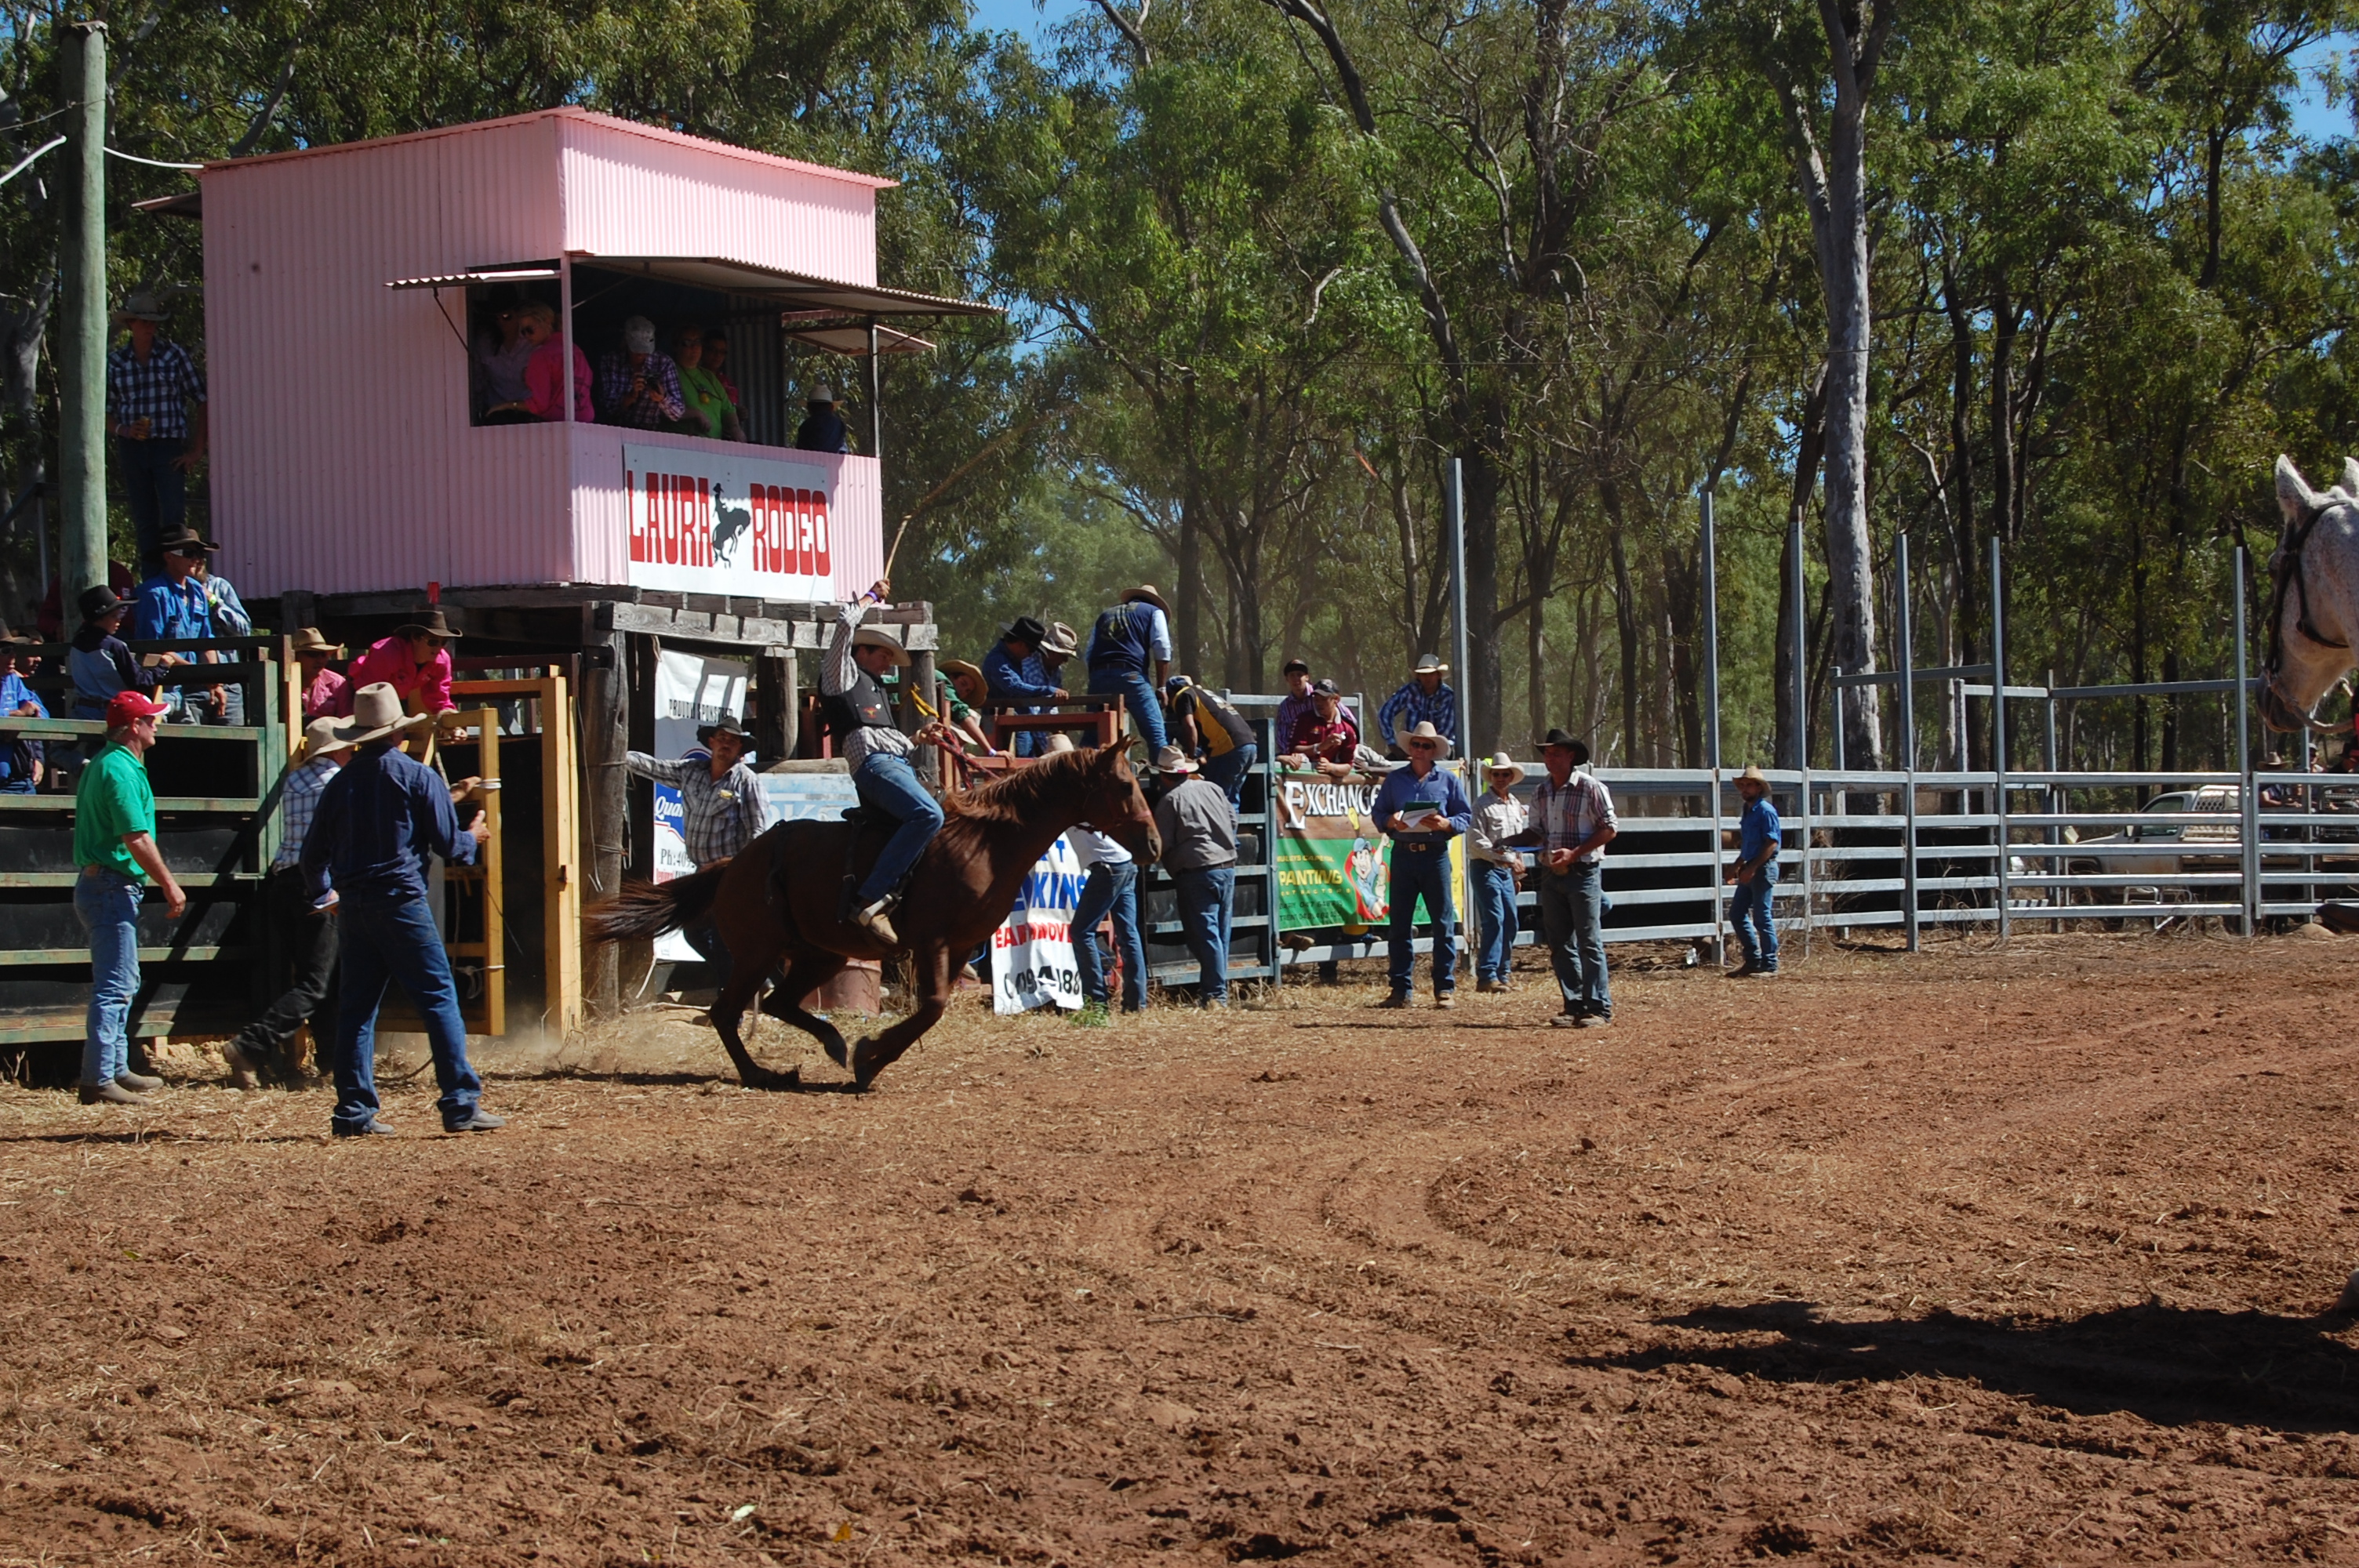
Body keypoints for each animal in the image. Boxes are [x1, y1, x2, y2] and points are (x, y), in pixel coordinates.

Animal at [590, 745, 1160, 1089]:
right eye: (1125, 786)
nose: (1153, 843)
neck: (985, 841)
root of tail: (732, 864)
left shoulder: (958, 947)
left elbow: (932, 1009)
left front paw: (867, 1058)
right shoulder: (933, 942)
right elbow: (931, 1007)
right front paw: (871, 1055)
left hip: (817, 954)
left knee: (776, 1003)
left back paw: (831, 1044)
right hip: (756, 952)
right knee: (728, 1013)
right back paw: (763, 1073)